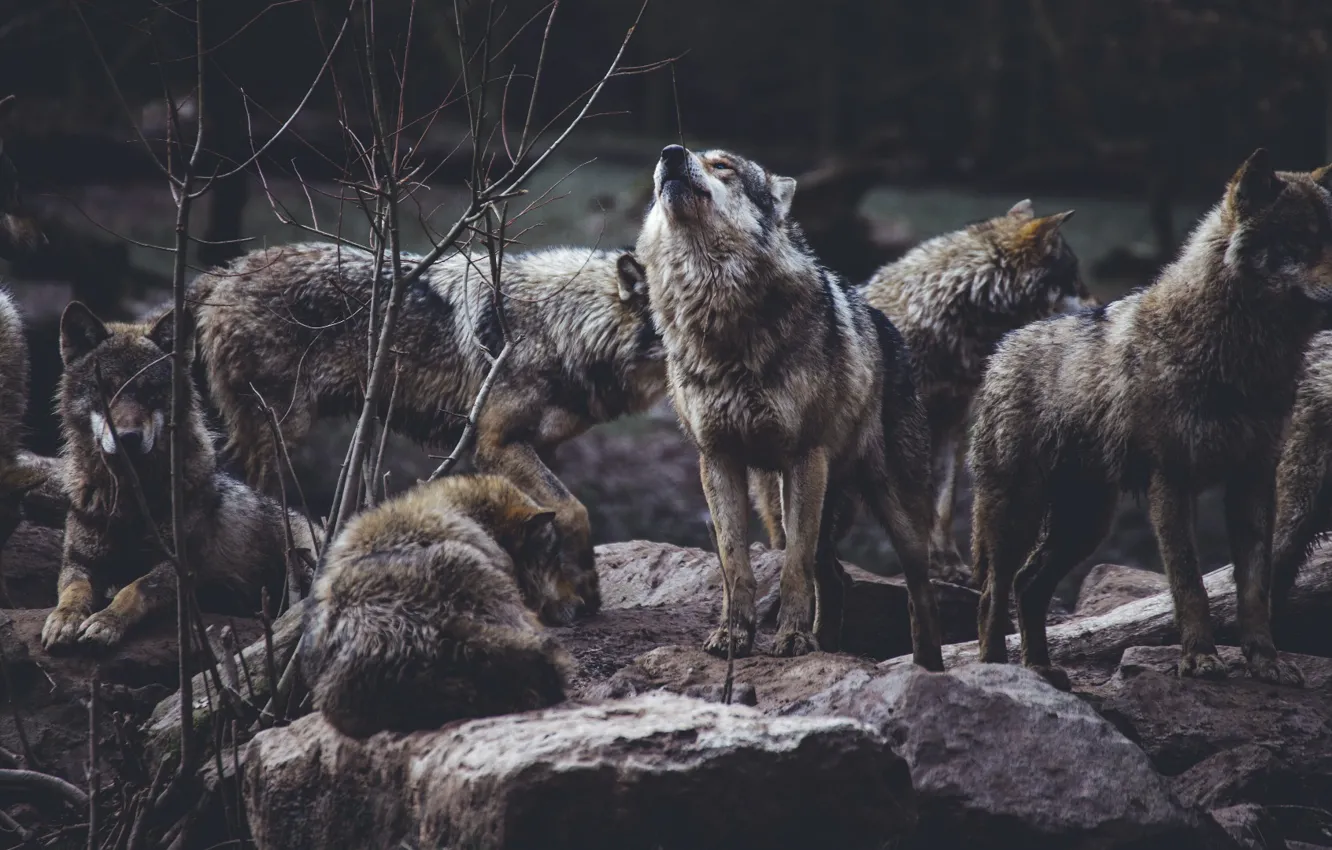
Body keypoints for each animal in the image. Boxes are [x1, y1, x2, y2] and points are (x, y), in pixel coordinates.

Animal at [40, 302, 321, 650]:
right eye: (106, 390)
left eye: (150, 392)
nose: (127, 438)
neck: (131, 501)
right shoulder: (79, 562)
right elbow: (74, 591)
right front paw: (64, 619)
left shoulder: (180, 567)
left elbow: (134, 589)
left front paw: (106, 621)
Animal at [191, 242, 665, 620]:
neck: (563, 326)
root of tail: (223, 271)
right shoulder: (496, 444)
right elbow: (574, 510)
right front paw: (586, 591)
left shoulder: (539, 447)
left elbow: (549, 521)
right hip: (279, 435)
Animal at [636, 144, 944, 667]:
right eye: (675, 157)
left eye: (723, 166)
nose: (671, 153)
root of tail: (887, 325)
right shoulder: (717, 459)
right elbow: (735, 564)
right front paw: (734, 636)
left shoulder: (803, 457)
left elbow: (793, 568)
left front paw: (794, 640)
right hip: (782, 501)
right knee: (836, 577)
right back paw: (830, 646)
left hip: (892, 508)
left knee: (918, 591)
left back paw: (928, 667)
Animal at [968, 149, 1332, 688]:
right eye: (1302, 240)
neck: (1239, 355)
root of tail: (1003, 347)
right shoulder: (1171, 480)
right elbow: (1189, 584)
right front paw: (1200, 659)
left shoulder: (1253, 480)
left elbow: (1254, 589)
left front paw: (1266, 661)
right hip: (1019, 512)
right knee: (994, 593)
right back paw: (1000, 672)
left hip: (1085, 523)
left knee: (1027, 584)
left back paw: (1042, 670)